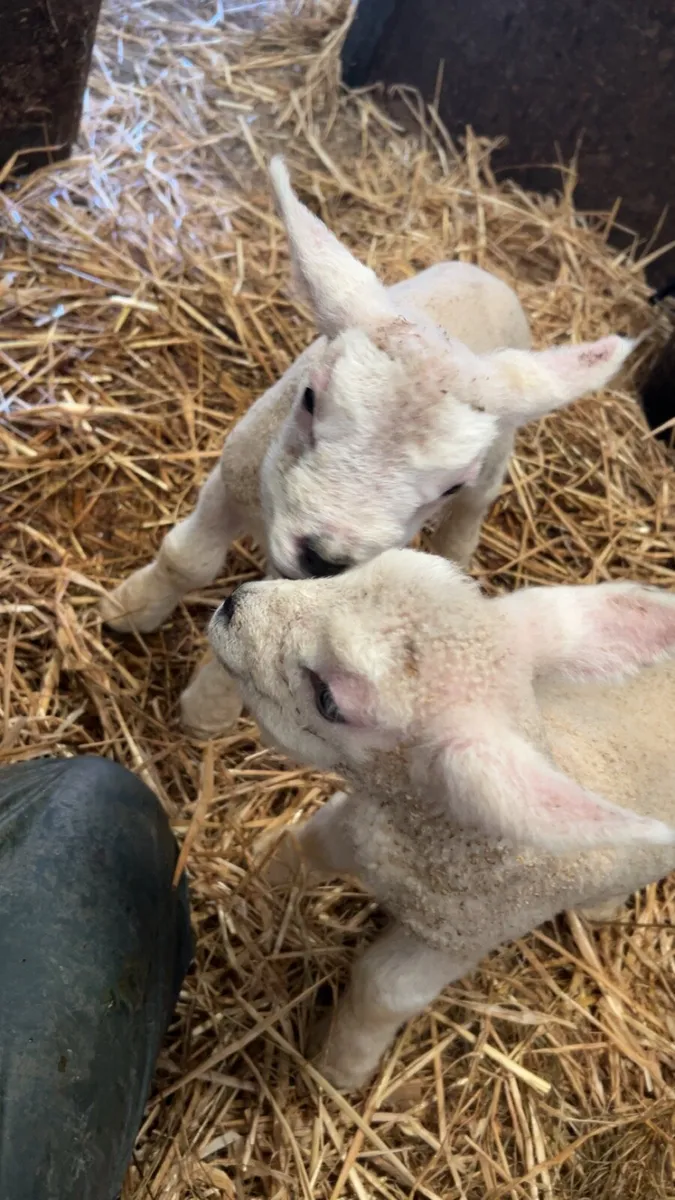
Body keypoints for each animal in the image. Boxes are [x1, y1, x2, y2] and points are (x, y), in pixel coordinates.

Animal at [101, 158, 635, 738]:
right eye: (310, 398)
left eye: (449, 484)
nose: (324, 555)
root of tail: (487, 276)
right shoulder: (237, 469)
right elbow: (187, 560)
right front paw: (131, 610)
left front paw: (209, 709)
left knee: (472, 516)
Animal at [207, 548, 675, 1090]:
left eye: (328, 700)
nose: (233, 604)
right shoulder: (362, 826)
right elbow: (309, 845)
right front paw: (258, 873)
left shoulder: (453, 939)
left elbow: (383, 988)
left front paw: (337, 1068)